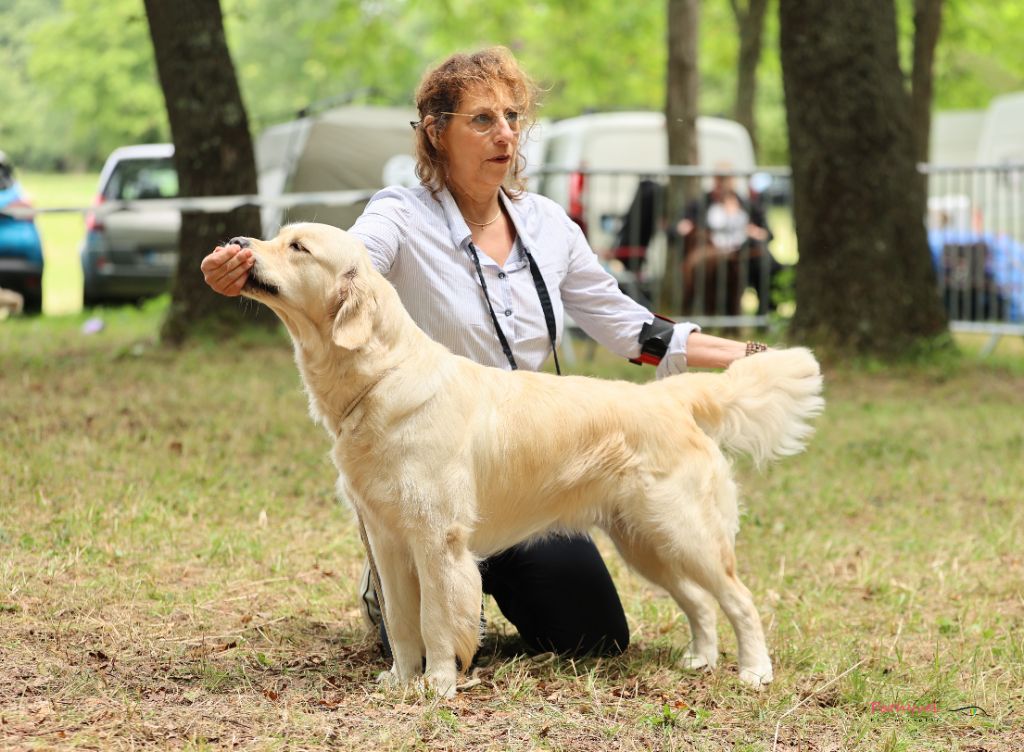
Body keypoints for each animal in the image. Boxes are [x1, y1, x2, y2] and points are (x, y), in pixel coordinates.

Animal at [234, 223, 823, 700]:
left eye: (298, 246)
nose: (238, 243)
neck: (382, 379)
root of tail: (668, 397)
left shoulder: (436, 538)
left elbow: (435, 618)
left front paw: (439, 684)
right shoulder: (387, 538)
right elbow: (402, 621)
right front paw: (402, 680)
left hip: (684, 531)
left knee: (739, 598)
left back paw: (754, 671)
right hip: (645, 542)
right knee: (699, 602)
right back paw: (700, 658)